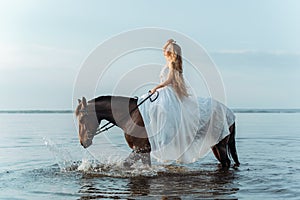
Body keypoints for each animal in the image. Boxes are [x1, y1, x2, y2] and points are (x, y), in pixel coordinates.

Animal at [75, 96, 239, 168]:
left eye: (82, 119)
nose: (83, 142)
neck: (131, 115)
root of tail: (229, 112)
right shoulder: (143, 151)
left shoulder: (140, 148)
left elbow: (125, 164)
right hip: (215, 145)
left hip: (221, 145)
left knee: (226, 162)